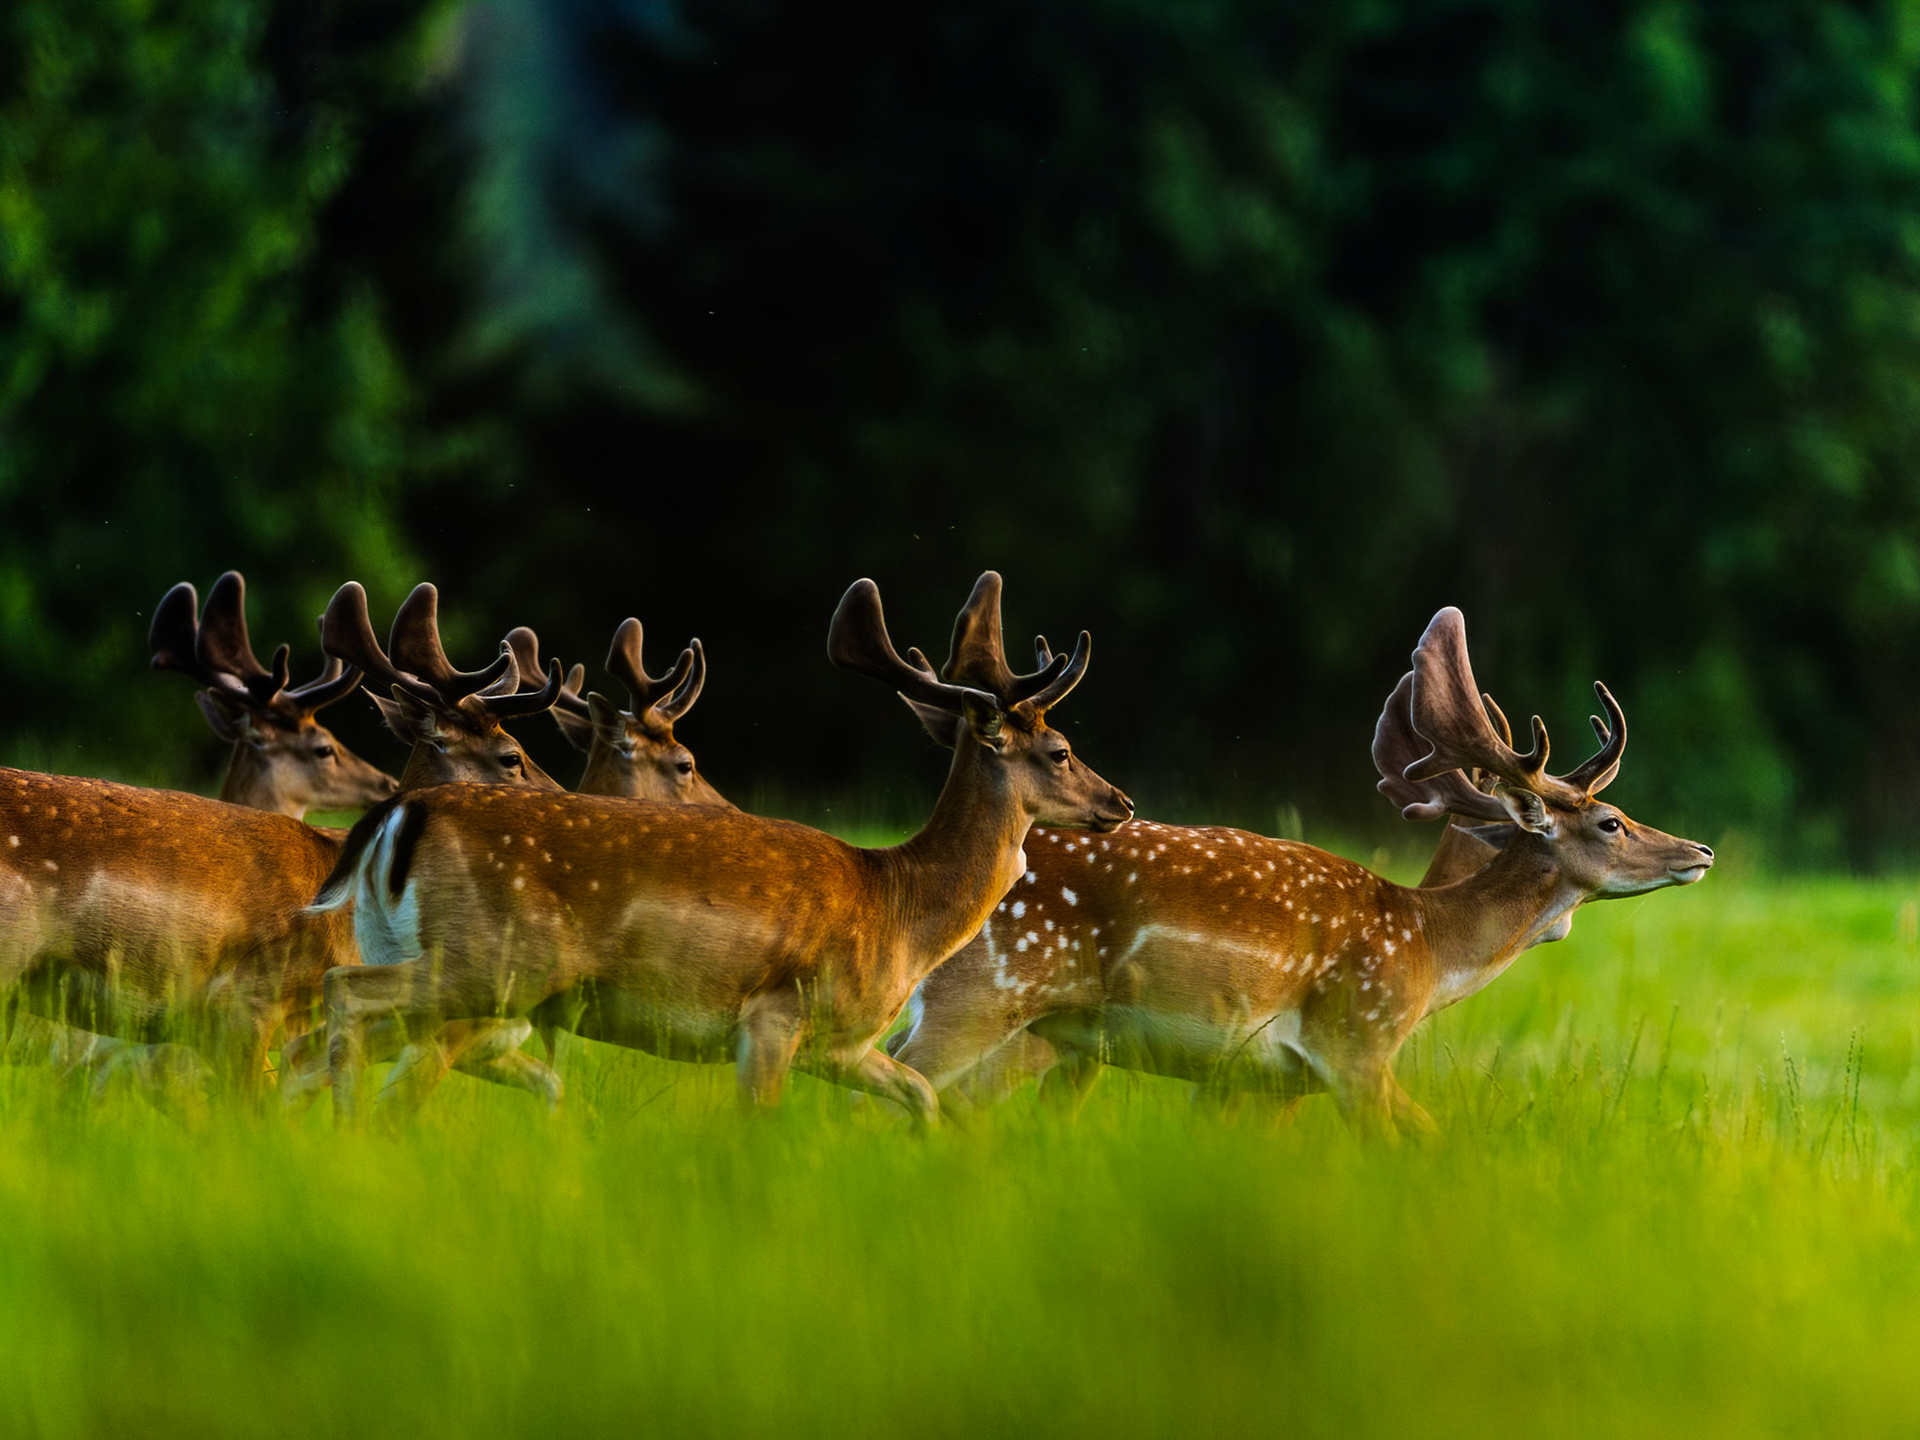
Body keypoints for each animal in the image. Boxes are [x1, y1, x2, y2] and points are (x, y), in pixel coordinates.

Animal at [310, 572, 1134, 1125]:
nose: (1120, 804)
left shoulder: (840, 1045)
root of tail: (397, 816)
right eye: (1061, 751)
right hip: (492, 964)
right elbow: (755, 1130)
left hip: (425, 958)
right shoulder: (773, 1014)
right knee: (348, 1002)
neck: (900, 906)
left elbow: (923, 1097)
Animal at [887, 606, 1714, 1137]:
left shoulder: (1256, 1078)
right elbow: (1424, 1137)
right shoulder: (1355, 1045)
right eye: (1612, 821)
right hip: (989, 994)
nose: (1701, 853)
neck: (1429, 945)